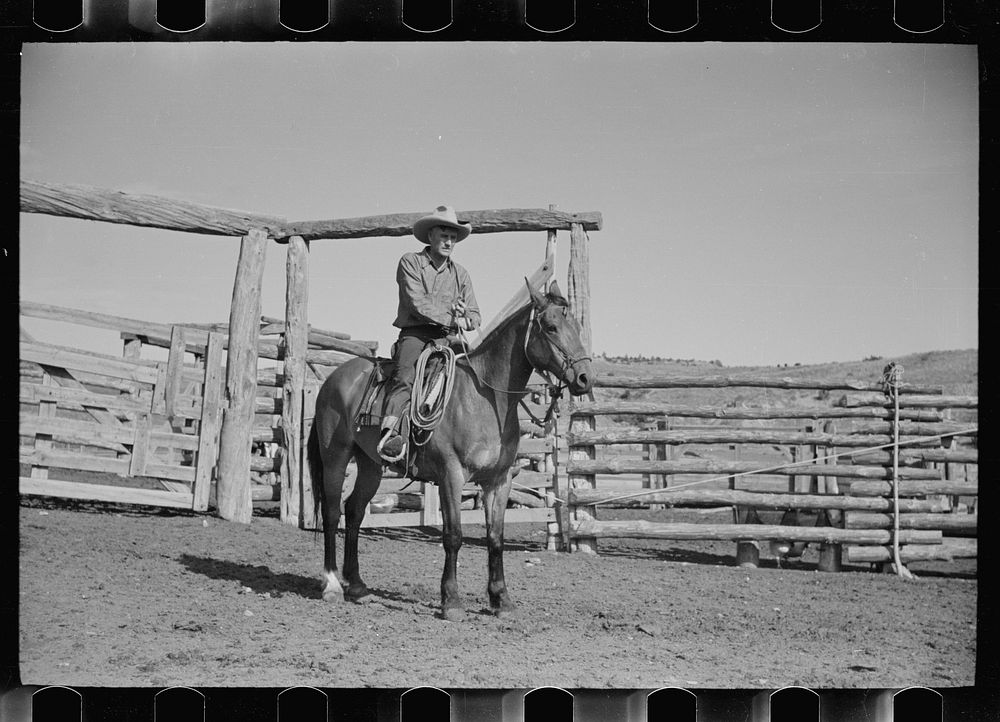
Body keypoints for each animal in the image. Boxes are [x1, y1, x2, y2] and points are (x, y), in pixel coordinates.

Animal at [308, 278, 592, 616]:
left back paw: (357, 585)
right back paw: (331, 584)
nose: (585, 378)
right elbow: (453, 535)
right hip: (335, 456)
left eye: (576, 326)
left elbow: (495, 537)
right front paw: (451, 600)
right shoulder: (451, 475)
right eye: (550, 327)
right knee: (332, 513)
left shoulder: (499, 481)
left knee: (354, 512)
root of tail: (332, 379)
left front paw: (501, 599)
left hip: (370, 464)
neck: (485, 399)